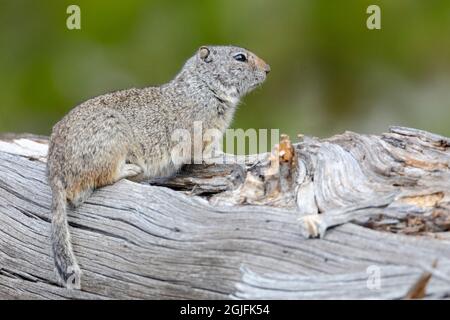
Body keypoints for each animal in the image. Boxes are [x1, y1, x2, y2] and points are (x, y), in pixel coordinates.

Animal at [47, 45, 268, 290]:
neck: (203, 86)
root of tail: (54, 172)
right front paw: (223, 158)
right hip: (112, 144)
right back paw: (130, 171)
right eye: (240, 57)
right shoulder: (200, 136)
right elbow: (203, 155)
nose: (268, 69)